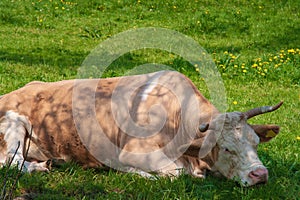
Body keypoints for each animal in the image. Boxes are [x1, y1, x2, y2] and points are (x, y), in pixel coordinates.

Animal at [0, 70, 282, 186]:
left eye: (256, 143)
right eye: (226, 149)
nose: (260, 175)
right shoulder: (133, 151)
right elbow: (175, 173)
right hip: (14, 125)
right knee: (10, 162)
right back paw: (39, 167)